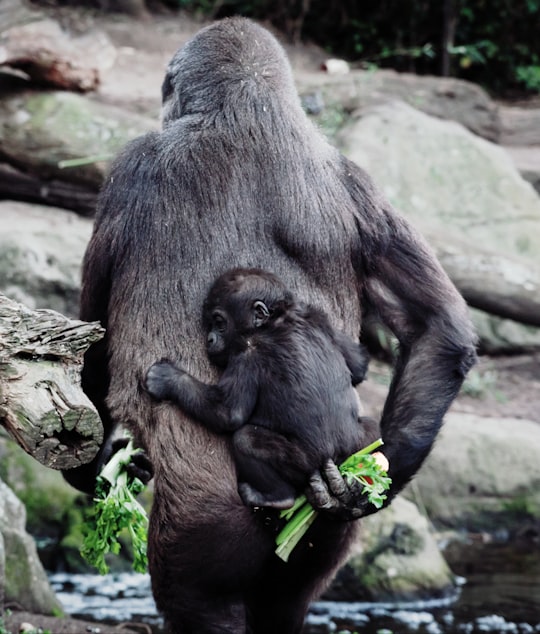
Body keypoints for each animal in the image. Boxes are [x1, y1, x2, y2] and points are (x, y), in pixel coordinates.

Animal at [146, 266, 378, 508]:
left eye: (219, 322)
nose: (209, 339)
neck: (275, 320)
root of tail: (338, 459)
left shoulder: (247, 352)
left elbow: (228, 413)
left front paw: (168, 379)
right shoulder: (315, 314)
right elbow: (359, 364)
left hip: (304, 461)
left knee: (246, 439)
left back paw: (277, 497)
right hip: (357, 448)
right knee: (372, 431)